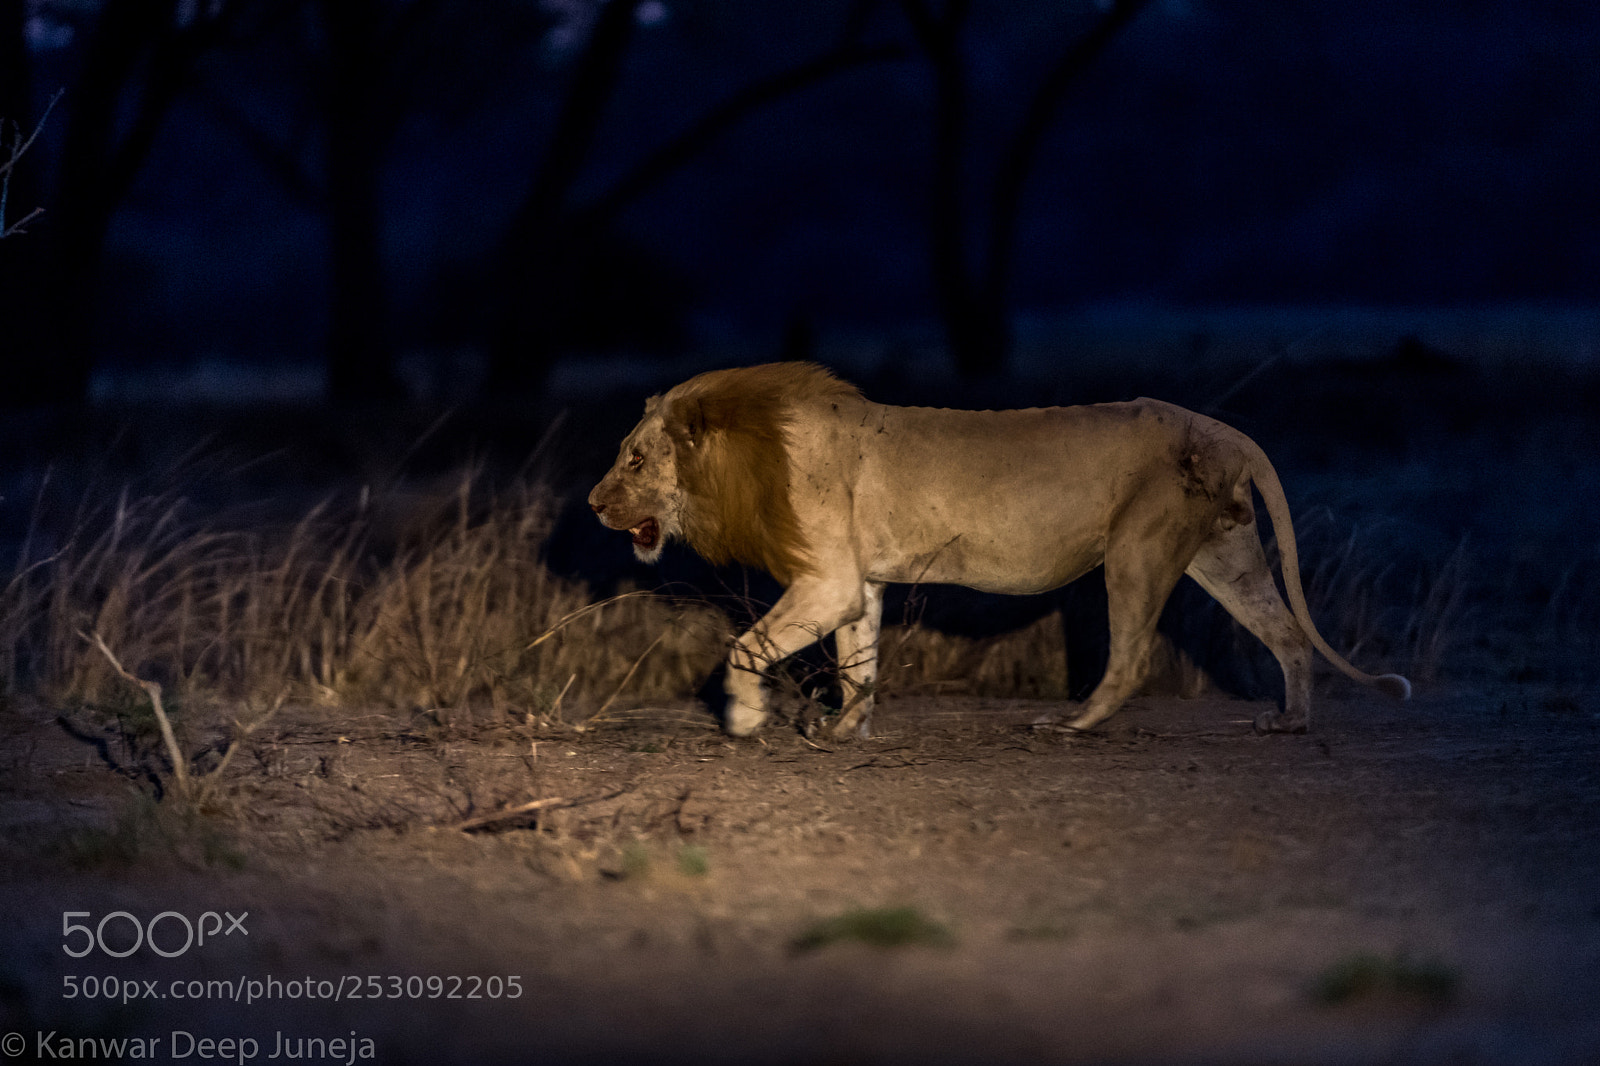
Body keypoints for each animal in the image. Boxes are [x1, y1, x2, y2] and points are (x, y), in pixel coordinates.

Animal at [588, 362, 1411, 740]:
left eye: (634, 459)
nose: (593, 504)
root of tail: (1228, 430)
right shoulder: (857, 585)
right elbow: (860, 663)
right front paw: (845, 730)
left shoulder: (826, 582)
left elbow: (745, 646)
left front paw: (745, 717)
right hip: (1225, 556)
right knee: (1287, 634)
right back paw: (1291, 721)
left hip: (1138, 549)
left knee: (1133, 655)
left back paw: (1073, 726)